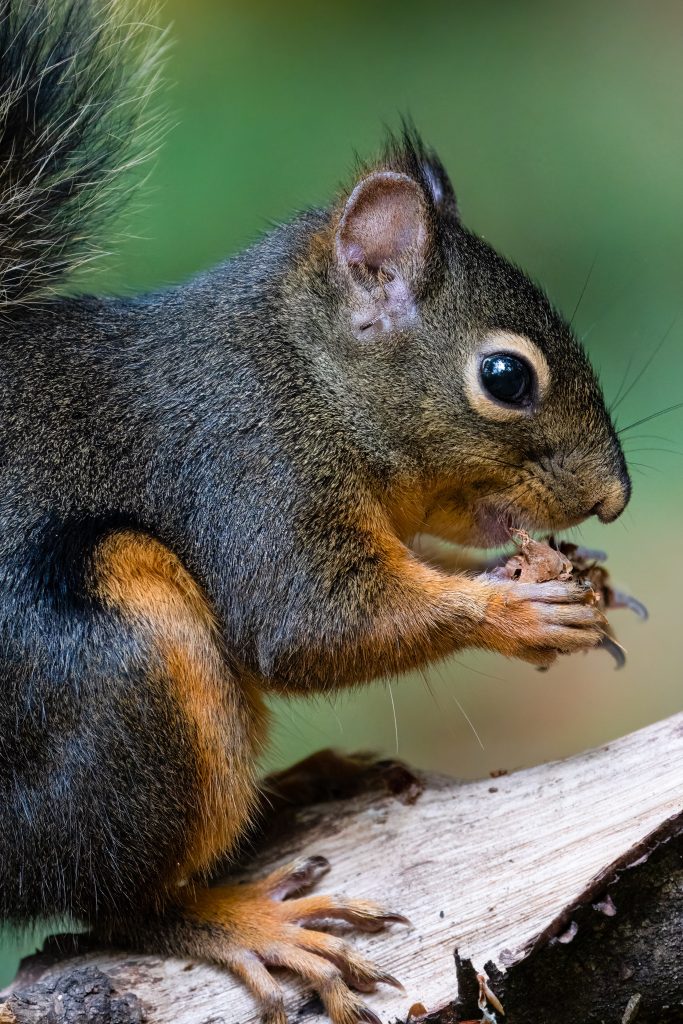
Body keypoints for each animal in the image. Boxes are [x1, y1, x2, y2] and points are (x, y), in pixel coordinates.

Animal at [0, 2, 630, 1024]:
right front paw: (516, 609)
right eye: (506, 376)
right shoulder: (250, 466)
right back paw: (246, 922)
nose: (615, 499)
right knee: (113, 905)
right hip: (118, 659)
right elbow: (310, 625)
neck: (304, 373)